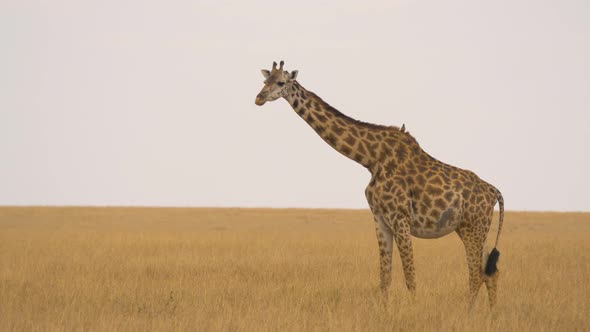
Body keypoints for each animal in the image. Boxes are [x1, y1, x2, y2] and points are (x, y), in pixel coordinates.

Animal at [256, 61, 506, 310]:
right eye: (265, 81)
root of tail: (495, 192)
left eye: (281, 82)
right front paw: (385, 312)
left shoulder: (401, 218)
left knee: (476, 273)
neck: (371, 159)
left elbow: (410, 276)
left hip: (473, 227)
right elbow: (384, 277)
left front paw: (413, 312)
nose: (259, 98)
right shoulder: (380, 219)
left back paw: (469, 312)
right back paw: (491, 314)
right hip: (470, 229)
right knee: (489, 272)